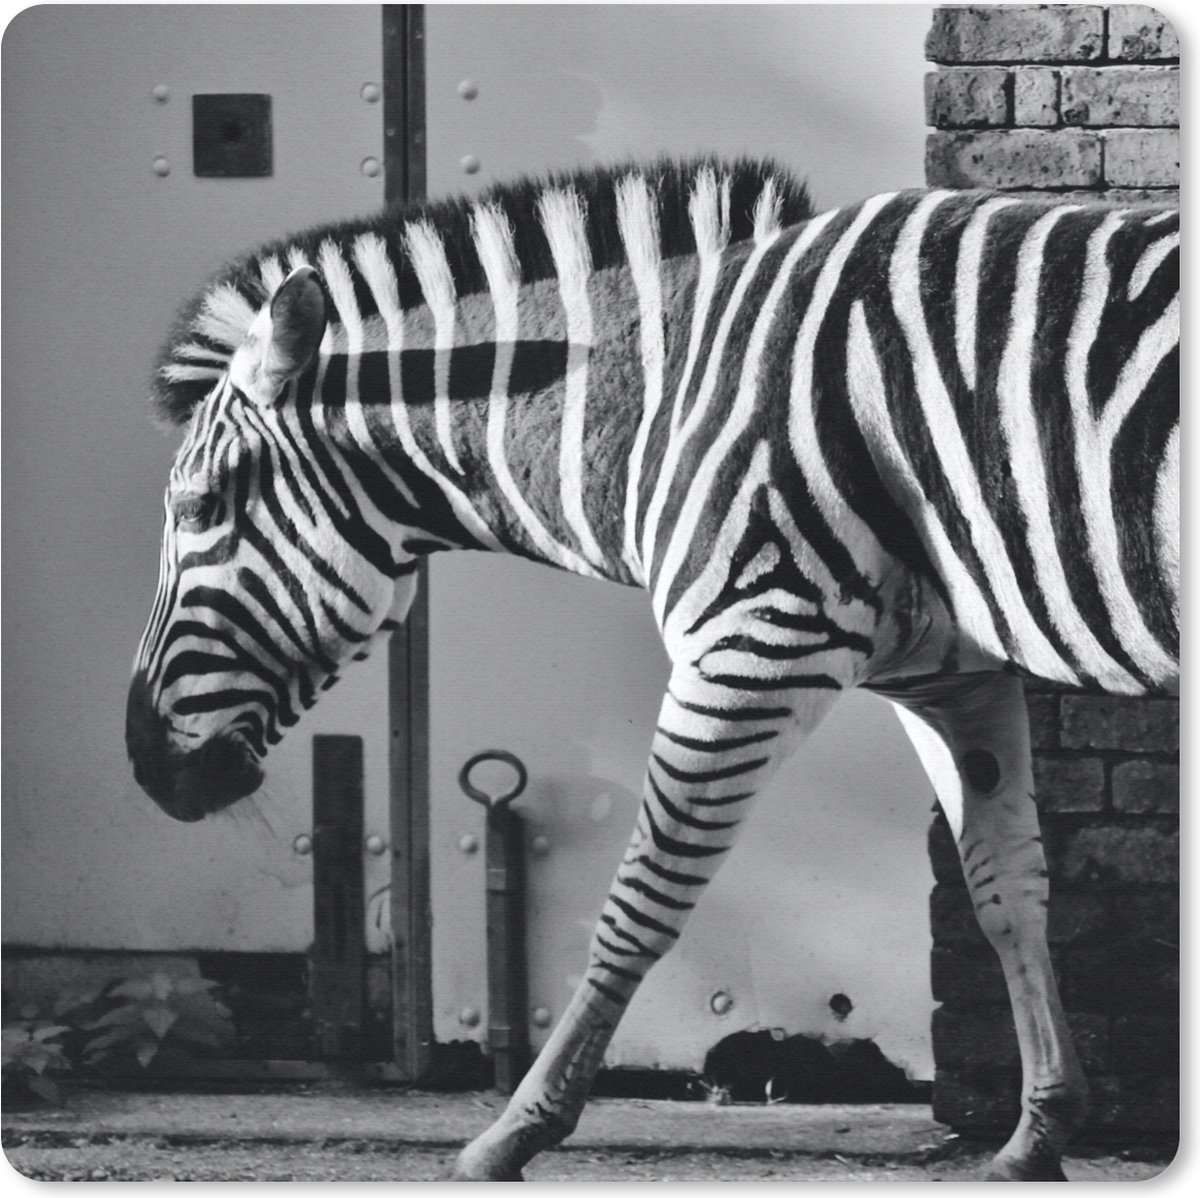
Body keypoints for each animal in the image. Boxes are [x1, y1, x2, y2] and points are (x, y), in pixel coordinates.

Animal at [126, 157, 1178, 1181]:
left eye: (201, 507)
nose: (146, 764)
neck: (661, 403)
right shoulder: (949, 676)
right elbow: (1007, 891)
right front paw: (1038, 1134)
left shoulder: (753, 641)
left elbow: (637, 901)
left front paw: (515, 1130)